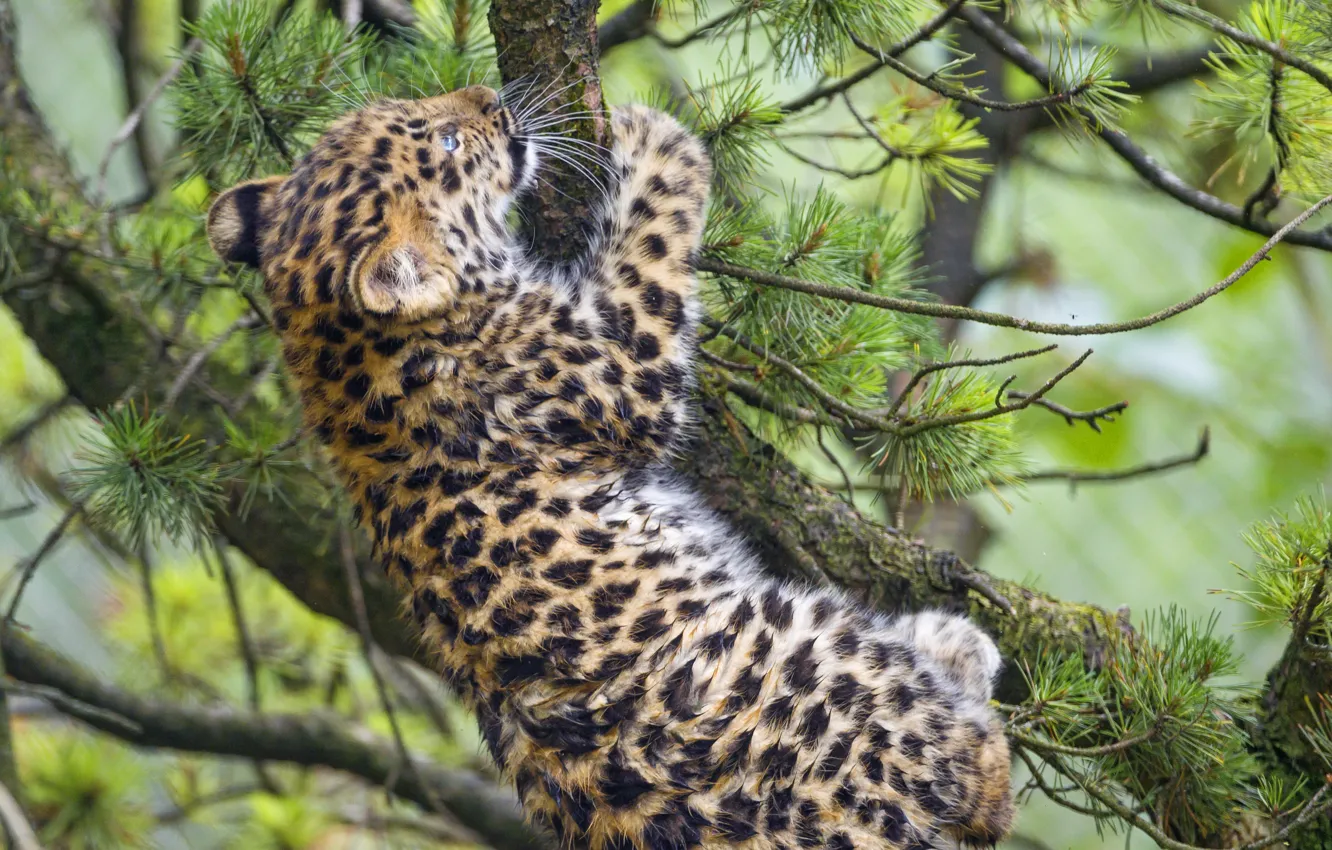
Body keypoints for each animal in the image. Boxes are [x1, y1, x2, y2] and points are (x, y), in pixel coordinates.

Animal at [205, 83, 1015, 850]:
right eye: (447, 141)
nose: (488, 97)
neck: (339, 358)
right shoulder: (623, 365)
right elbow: (652, 241)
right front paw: (657, 135)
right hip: (808, 641)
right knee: (974, 768)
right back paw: (959, 652)